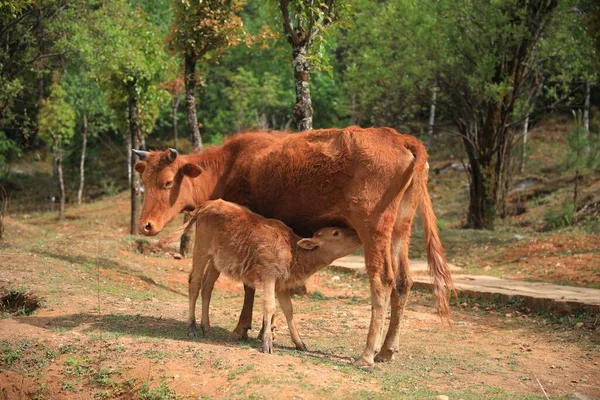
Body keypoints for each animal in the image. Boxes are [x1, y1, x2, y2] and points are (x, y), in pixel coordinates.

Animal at [161, 200, 360, 354]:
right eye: (336, 232)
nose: (358, 234)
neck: (293, 251)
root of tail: (206, 205)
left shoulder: (282, 285)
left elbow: (288, 311)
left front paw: (300, 343)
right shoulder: (268, 277)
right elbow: (270, 307)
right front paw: (267, 343)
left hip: (216, 262)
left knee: (207, 287)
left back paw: (206, 327)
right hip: (201, 251)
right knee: (194, 283)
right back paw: (191, 327)